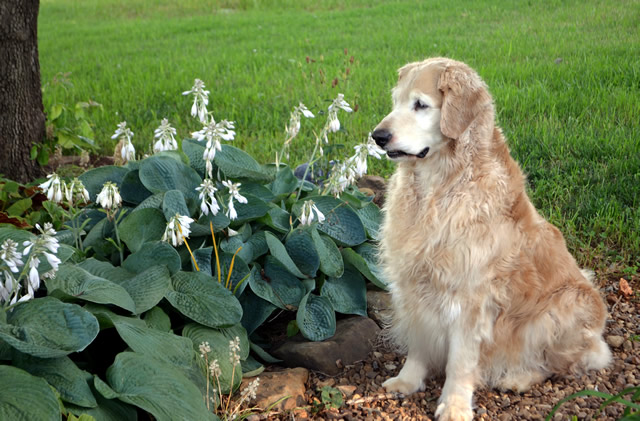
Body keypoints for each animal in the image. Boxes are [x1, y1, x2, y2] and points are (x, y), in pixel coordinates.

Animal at [372, 58, 612, 420]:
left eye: (420, 105)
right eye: (395, 101)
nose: (378, 136)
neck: (438, 187)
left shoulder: (471, 298)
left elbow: (460, 362)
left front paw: (454, 405)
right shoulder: (414, 284)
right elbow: (418, 342)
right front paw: (407, 380)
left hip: (563, 308)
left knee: (555, 365)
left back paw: (518, 377)